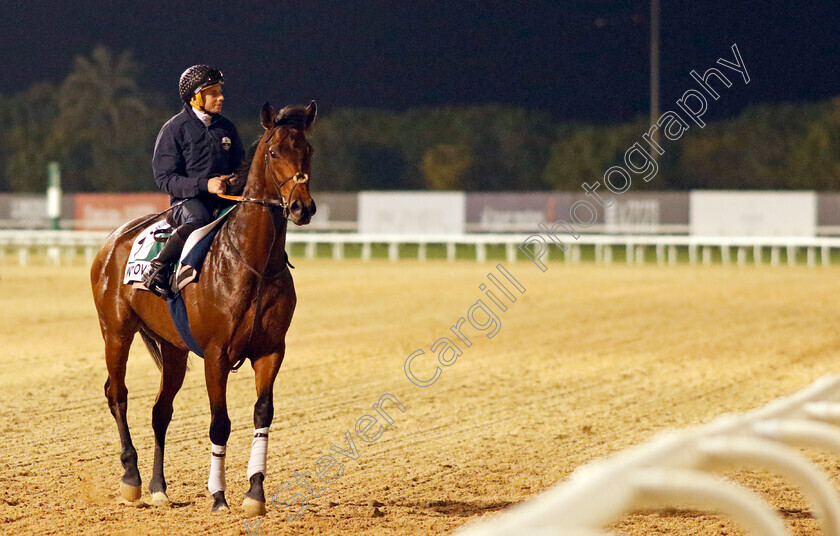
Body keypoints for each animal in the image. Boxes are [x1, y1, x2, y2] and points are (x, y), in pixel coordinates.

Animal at [90, 100, 316, 516]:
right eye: (274, 152)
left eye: (307, 150)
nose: (301, 207)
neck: (252, 262)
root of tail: (113, 240)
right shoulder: (216, 354)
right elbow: (219, 423)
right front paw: (218, 495)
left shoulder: (271, 350)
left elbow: (263, 413)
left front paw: (255, 493)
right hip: (115, 332)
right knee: (118, 394)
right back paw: (131, 479)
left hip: (173, 349)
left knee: (160, 411)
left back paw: (158, 488)